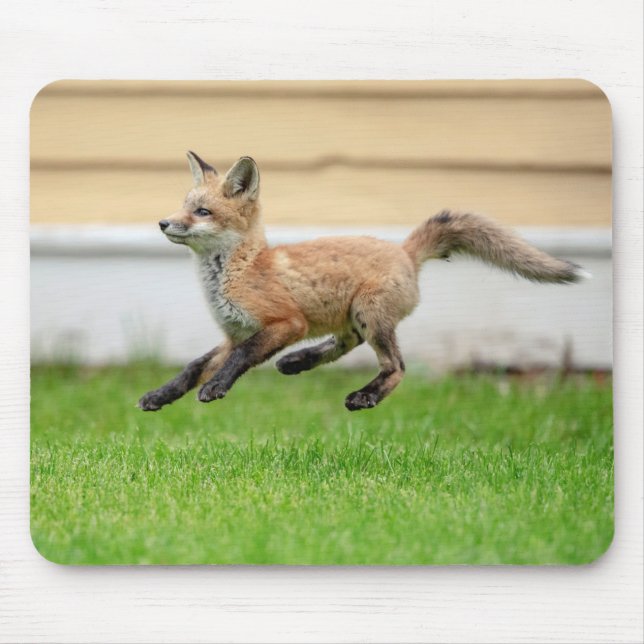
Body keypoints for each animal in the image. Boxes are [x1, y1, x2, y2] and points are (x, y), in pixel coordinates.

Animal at [138, 151, 587, 413]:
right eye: (184, 206)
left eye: (202, 212)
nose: (162, 223)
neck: (241, 270)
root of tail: (404, 251)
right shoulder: (235, 332)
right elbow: (193, 366)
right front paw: (160, 395)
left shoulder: (286, 323)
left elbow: (240, 360)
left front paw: (216, 388)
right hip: (355, 315)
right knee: (347, 342)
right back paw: (298, 362)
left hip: (369, 314)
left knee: (396, 367)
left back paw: (364, 396)